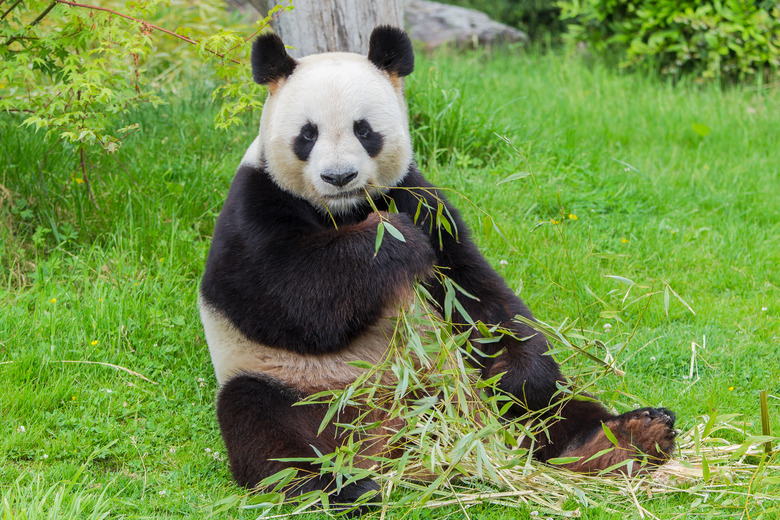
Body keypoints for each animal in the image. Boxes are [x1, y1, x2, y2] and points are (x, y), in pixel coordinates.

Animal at [200, 25, 676, 508]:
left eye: (364, 130)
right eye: (307, 135)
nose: (338, 177)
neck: (345, 212)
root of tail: (393, 442)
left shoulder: (420, 200)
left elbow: (476, 293)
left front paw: (523, 373)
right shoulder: (255, 203)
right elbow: (282, 296)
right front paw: (390, 240)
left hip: (454, 379)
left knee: (551, 412)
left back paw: (624, 439)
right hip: (294, 384)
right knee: (265, 427)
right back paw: (340, 485)